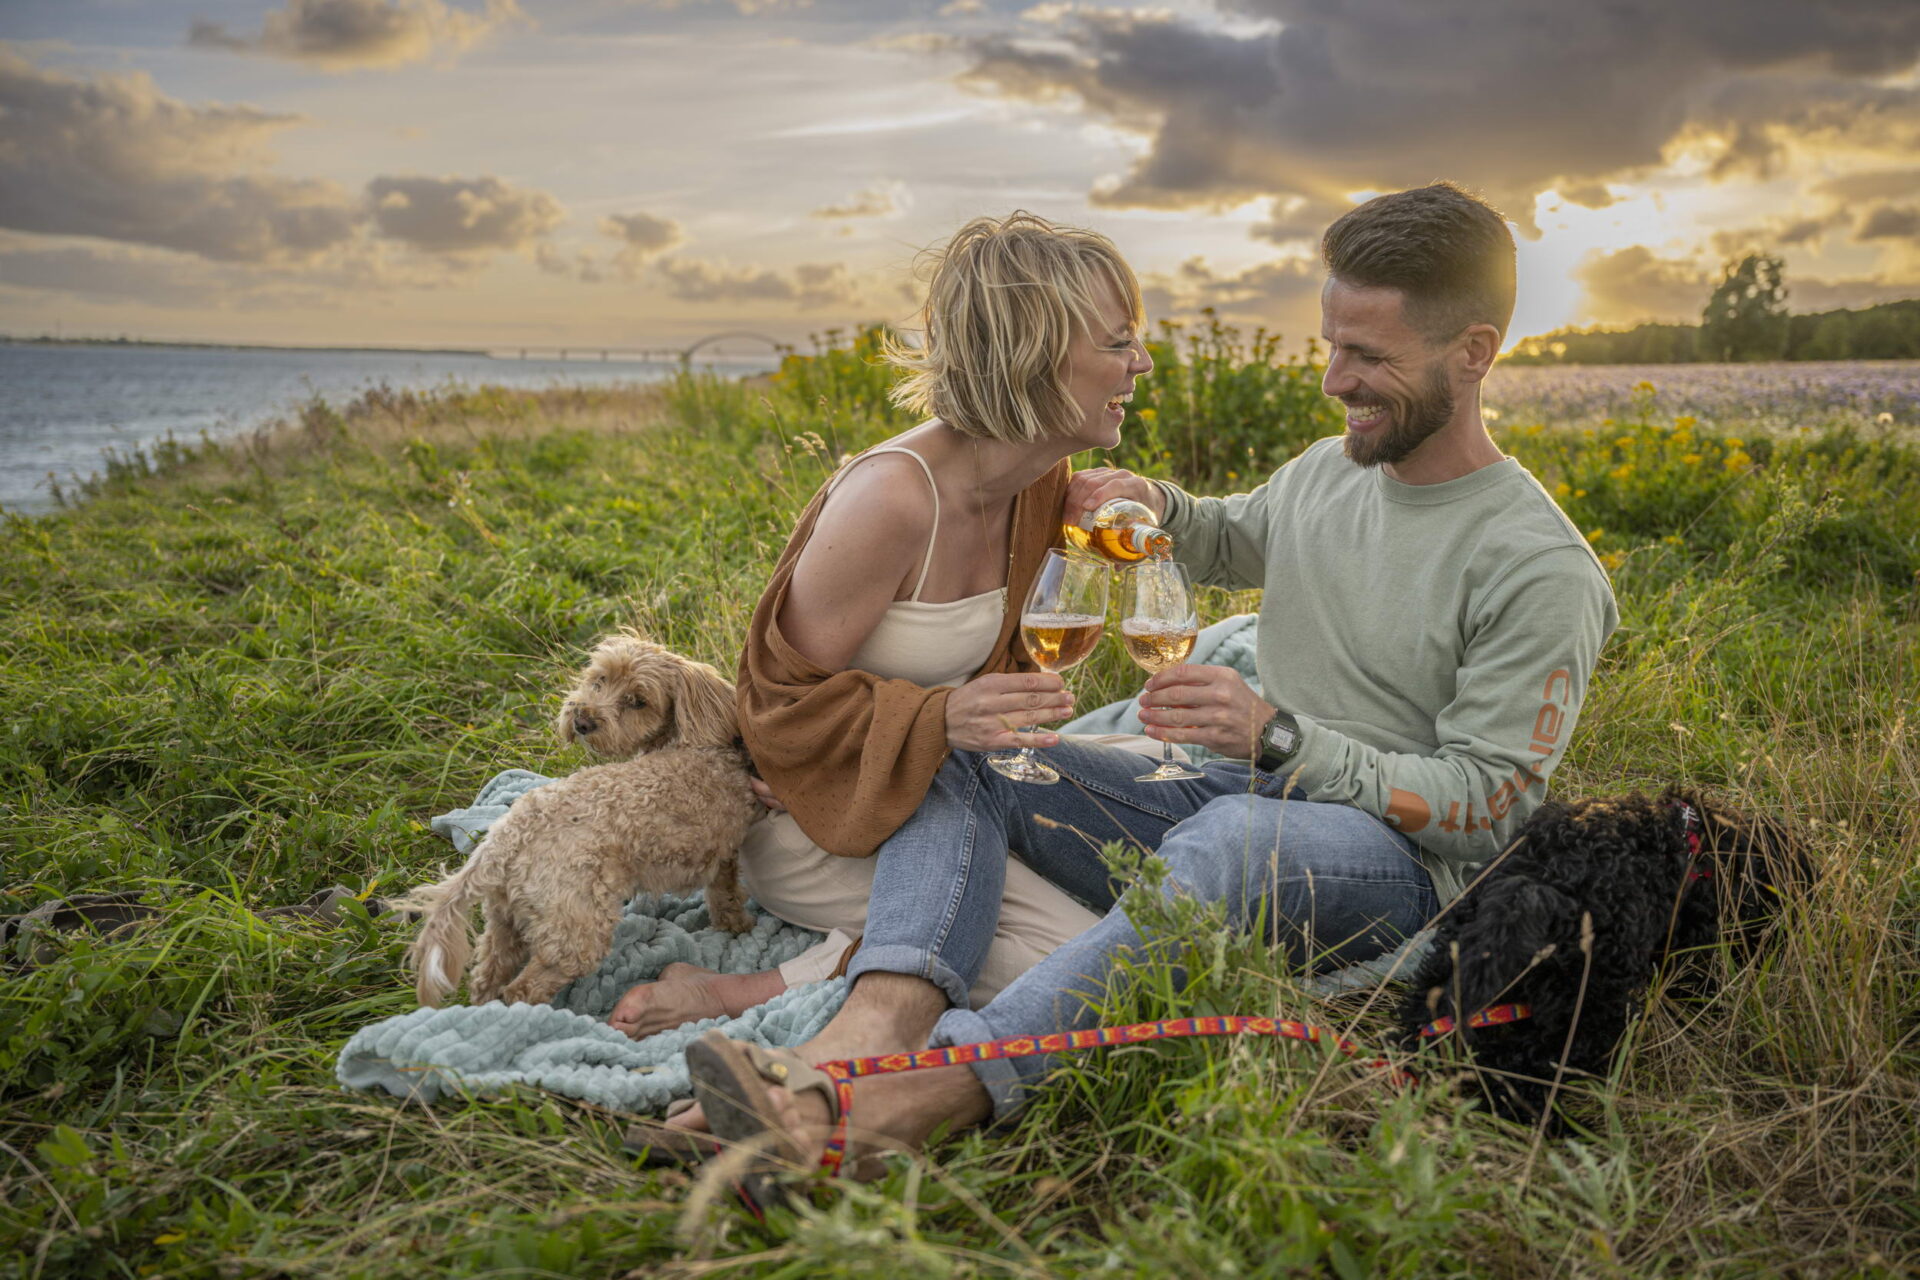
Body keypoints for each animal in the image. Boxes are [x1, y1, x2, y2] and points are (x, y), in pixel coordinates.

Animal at [1405, 786, 1804, 1128]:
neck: (1692, 838)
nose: (1782, 945)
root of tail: (1529, 892)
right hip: (1591, 1009)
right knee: (1525, 1077)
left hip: (1449, 971)